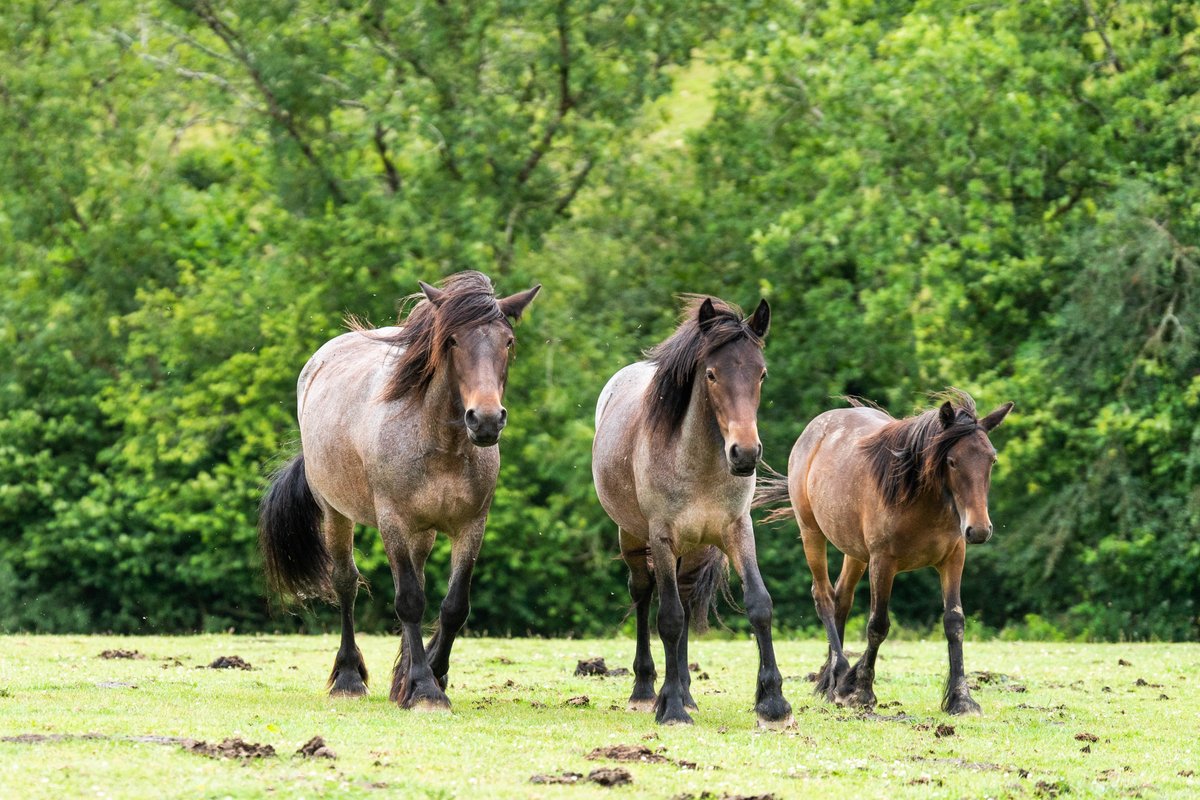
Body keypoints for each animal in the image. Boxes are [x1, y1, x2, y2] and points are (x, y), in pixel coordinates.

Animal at [258, 270, 540, 710]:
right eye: (452, 340)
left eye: (507, 341)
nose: (486, 419)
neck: (441, 444)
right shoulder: (393, 522)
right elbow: (408, 600)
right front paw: (424, 688)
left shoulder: (471, 526)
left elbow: (453, 606)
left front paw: (428, 676)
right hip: (336, 515)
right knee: (346, 582)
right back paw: (348, 678)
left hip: (422, 534)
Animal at [592, 295, 793, 728]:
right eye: (712, 375)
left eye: (761, 374)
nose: (745, 453)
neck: (700, 466)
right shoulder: (663, 537)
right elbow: (668, 618)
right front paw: (669, 709)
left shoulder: (737, 530)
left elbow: (759, 604)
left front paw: (773, 705)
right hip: (633, 538)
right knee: (644, 594)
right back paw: (645, 691)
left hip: (696, 548)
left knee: (683, 600)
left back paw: (685, 691)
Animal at [754, 390, 1013, 715]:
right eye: (952, 461)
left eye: (992, 459)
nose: (978, 530)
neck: (920, 499)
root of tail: (812, 432)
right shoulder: (883, 563)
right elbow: (878, 625)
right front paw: (860, 690)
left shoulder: (954, 559)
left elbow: (954, 623)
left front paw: (961, 699)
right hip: (812, 533)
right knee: (824, 596)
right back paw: (839, 673)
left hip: (854, 552)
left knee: (841, 599)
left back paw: (829, 682)